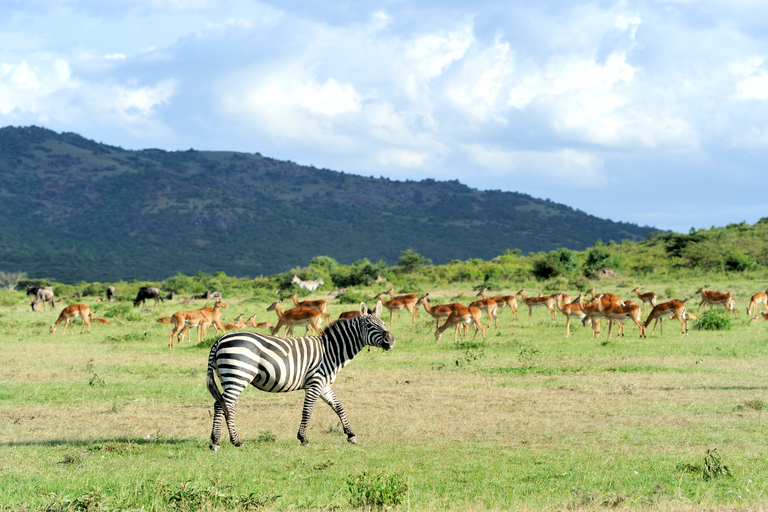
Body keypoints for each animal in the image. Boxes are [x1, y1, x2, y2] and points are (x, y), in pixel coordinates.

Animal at [206, 300, 396, 448]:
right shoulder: (315, 382)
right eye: (370, 325)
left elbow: (338, 406)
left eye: (384, 323)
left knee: (225, 405)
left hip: (227, 377)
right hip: (238, 374)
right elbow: (308, 410)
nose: (391, 340)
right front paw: (303, 438)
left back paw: (227, 440)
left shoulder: (325, 385)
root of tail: (219, 340)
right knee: (222, 405)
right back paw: (223, 441)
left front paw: (351, 434)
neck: (331, 350)